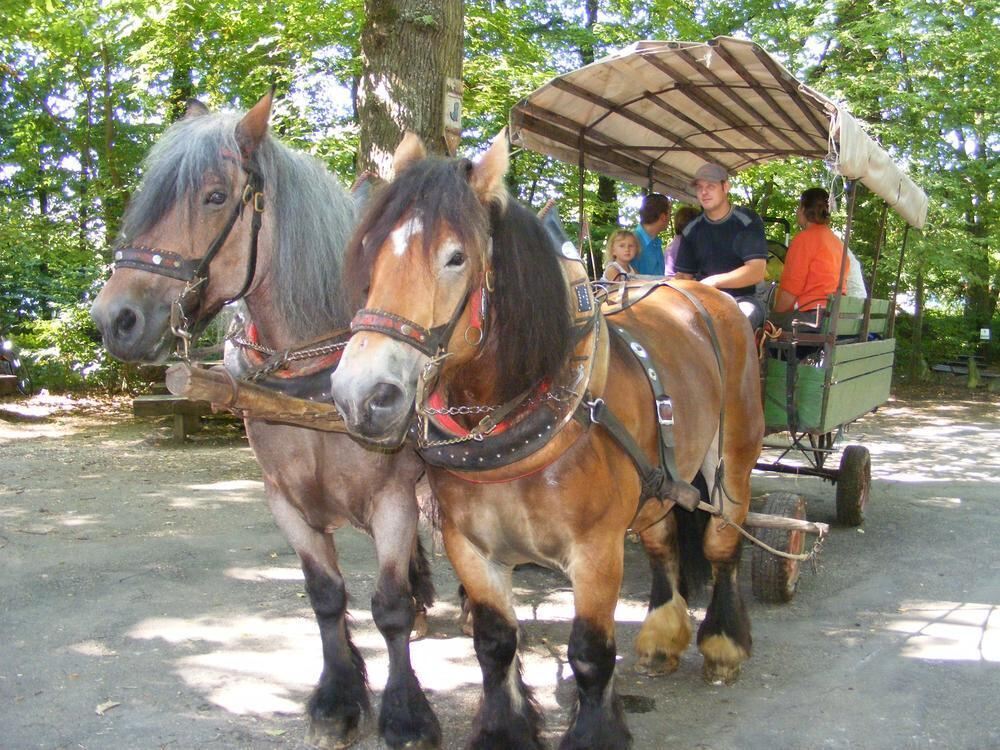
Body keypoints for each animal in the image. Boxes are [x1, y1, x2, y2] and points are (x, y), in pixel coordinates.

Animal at [88, 94, 440, 750]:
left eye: (215, 196)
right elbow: (325, 596)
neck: (316, 368)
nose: (114, 319)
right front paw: (337, 698)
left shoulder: (393, 497)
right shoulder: (285, 498)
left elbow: (388, 607)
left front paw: (406, 713)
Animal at [332, 132, 760, 748]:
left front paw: (595, 732)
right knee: (661, 542)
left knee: (722, 542)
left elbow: (590, 653)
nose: (362, 395)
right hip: (659, 478)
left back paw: (723, 643)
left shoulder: (596, 550)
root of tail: (697, 292)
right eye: (370, 251)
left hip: (733, 457)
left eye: (456, 257)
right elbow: (494, 644)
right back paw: (662, 637)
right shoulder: (471, 547)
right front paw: (504, 730)